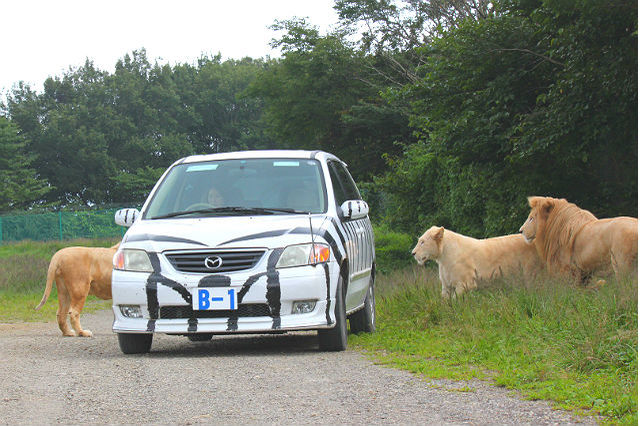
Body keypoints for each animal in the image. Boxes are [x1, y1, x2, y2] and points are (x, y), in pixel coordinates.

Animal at [412, 225, 544, 298]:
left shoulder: (466, 283)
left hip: (531, 273)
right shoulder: (446, 285)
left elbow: (455, 300)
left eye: (422, 242)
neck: (442, 258)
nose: (413, 253)